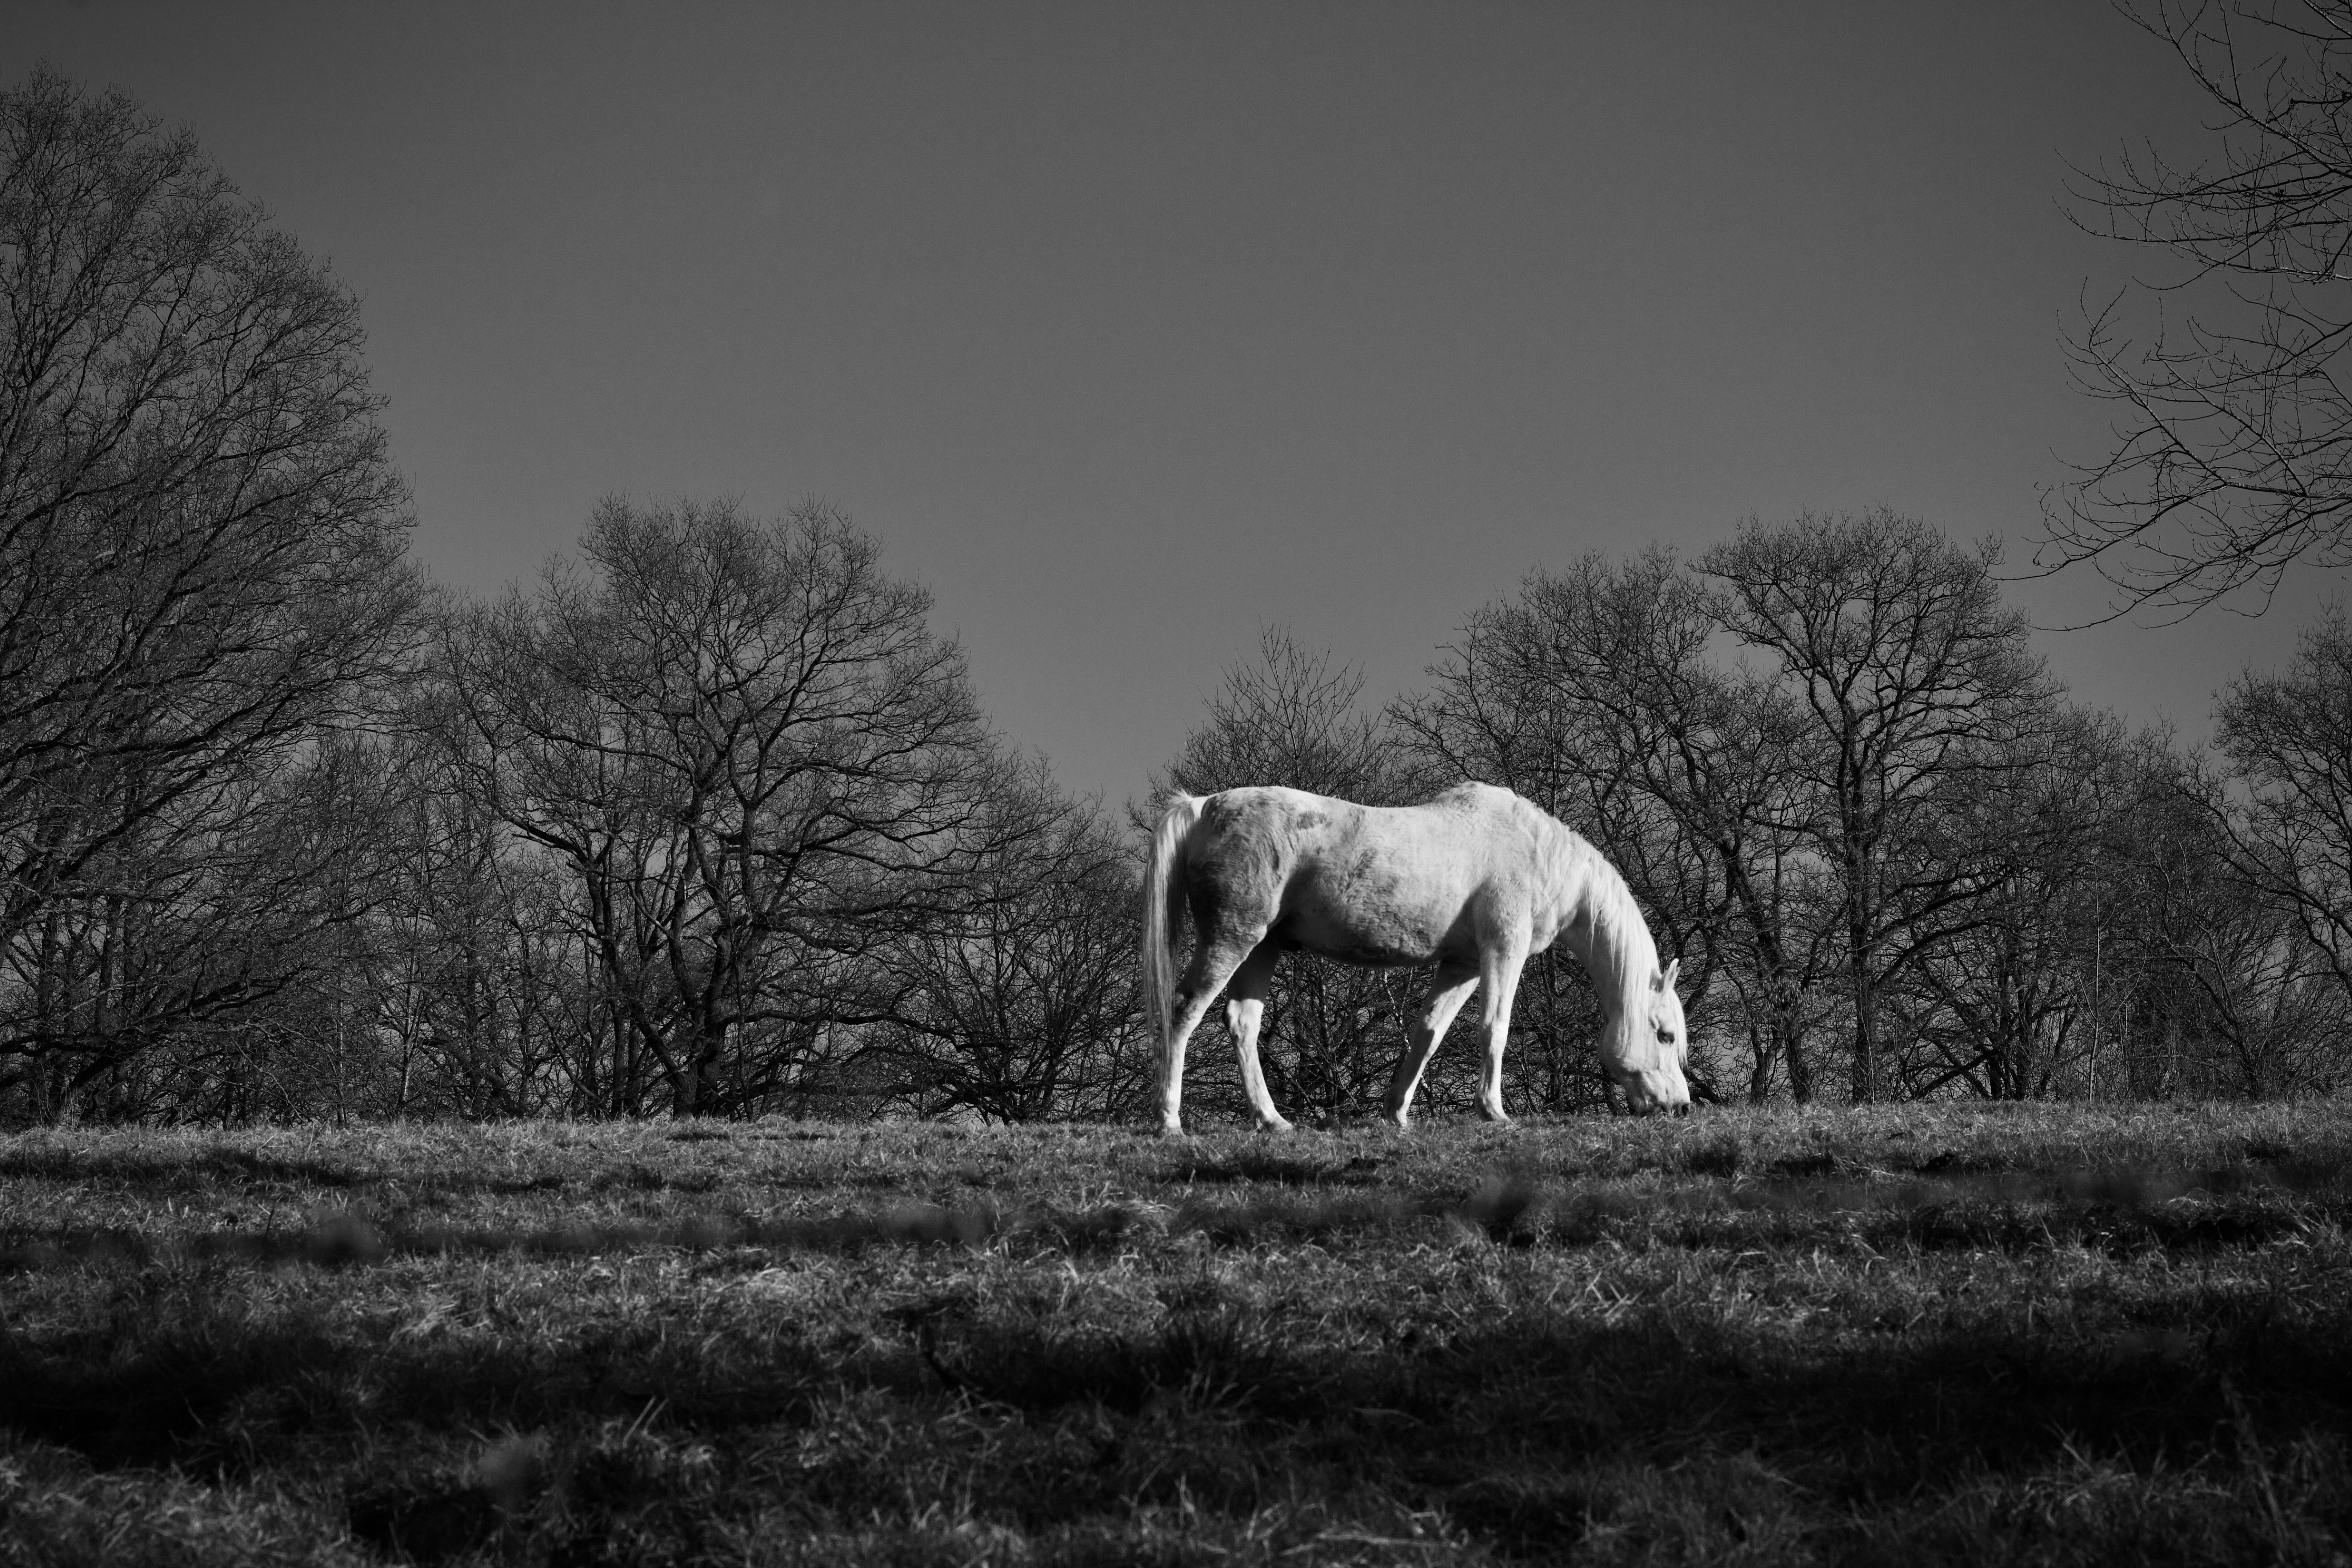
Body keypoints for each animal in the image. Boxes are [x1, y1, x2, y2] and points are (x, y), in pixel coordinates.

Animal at [1141, 781, 1692, 1133]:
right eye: (1664, 1035)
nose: (1682, 1106)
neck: (1541, 855)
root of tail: (1203, 807)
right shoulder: (1503, 950)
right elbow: (1494, 1028)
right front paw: (1494, 1111)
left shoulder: (1462, 966)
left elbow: (1430, 1032)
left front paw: (1396, 1113)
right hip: (1233, 937)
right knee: (1185, 1011)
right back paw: (1170, 1121)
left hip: (1263, 946)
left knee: (1242, 1022)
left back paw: (1273, 1120)